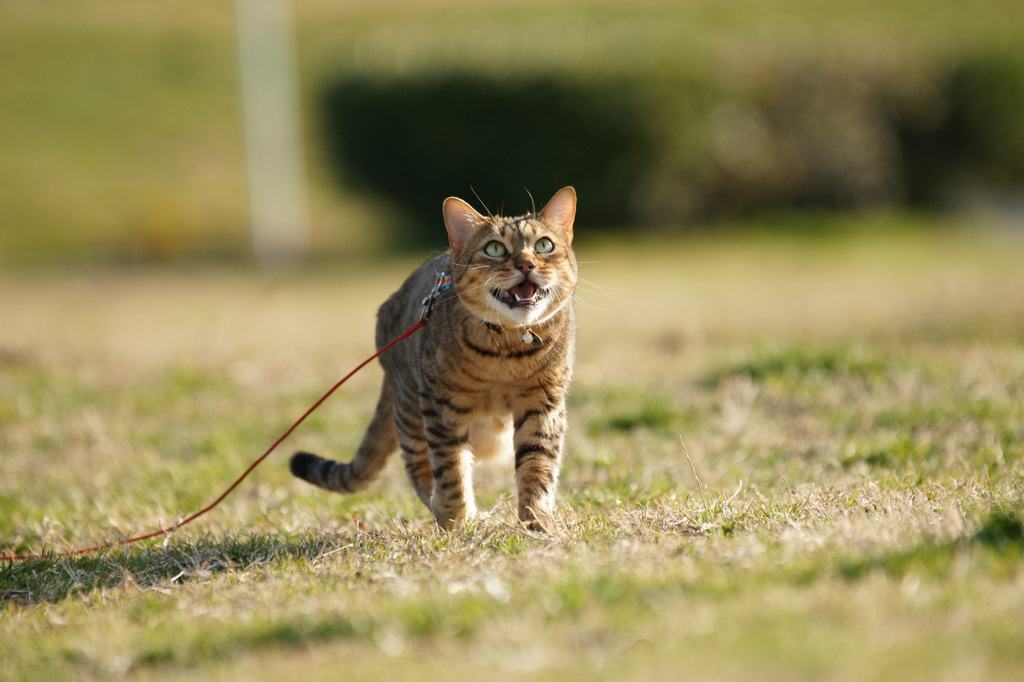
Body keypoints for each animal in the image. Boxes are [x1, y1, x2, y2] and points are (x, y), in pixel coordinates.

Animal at [290, 186, 577, 532]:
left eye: (544, 245)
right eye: (495, 248)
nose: (525, 265)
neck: (506, 351)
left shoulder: (543, 402)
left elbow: (538, 467)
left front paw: (538, 524)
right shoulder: (442, 404)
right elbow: (451, 469)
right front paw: (455, 523)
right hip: (412, 413)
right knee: (421, 468)